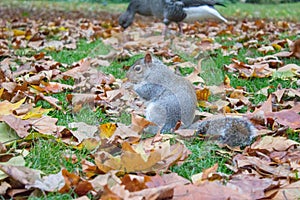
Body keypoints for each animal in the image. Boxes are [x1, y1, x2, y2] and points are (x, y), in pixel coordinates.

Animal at [126, 53, 255, 147]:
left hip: (158, 111)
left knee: (156, 129)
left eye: (137, 68)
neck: (153, 69)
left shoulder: (156, 82)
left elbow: (145, 91)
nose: (126, 76)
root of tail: (181, 128)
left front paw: (130, 86)